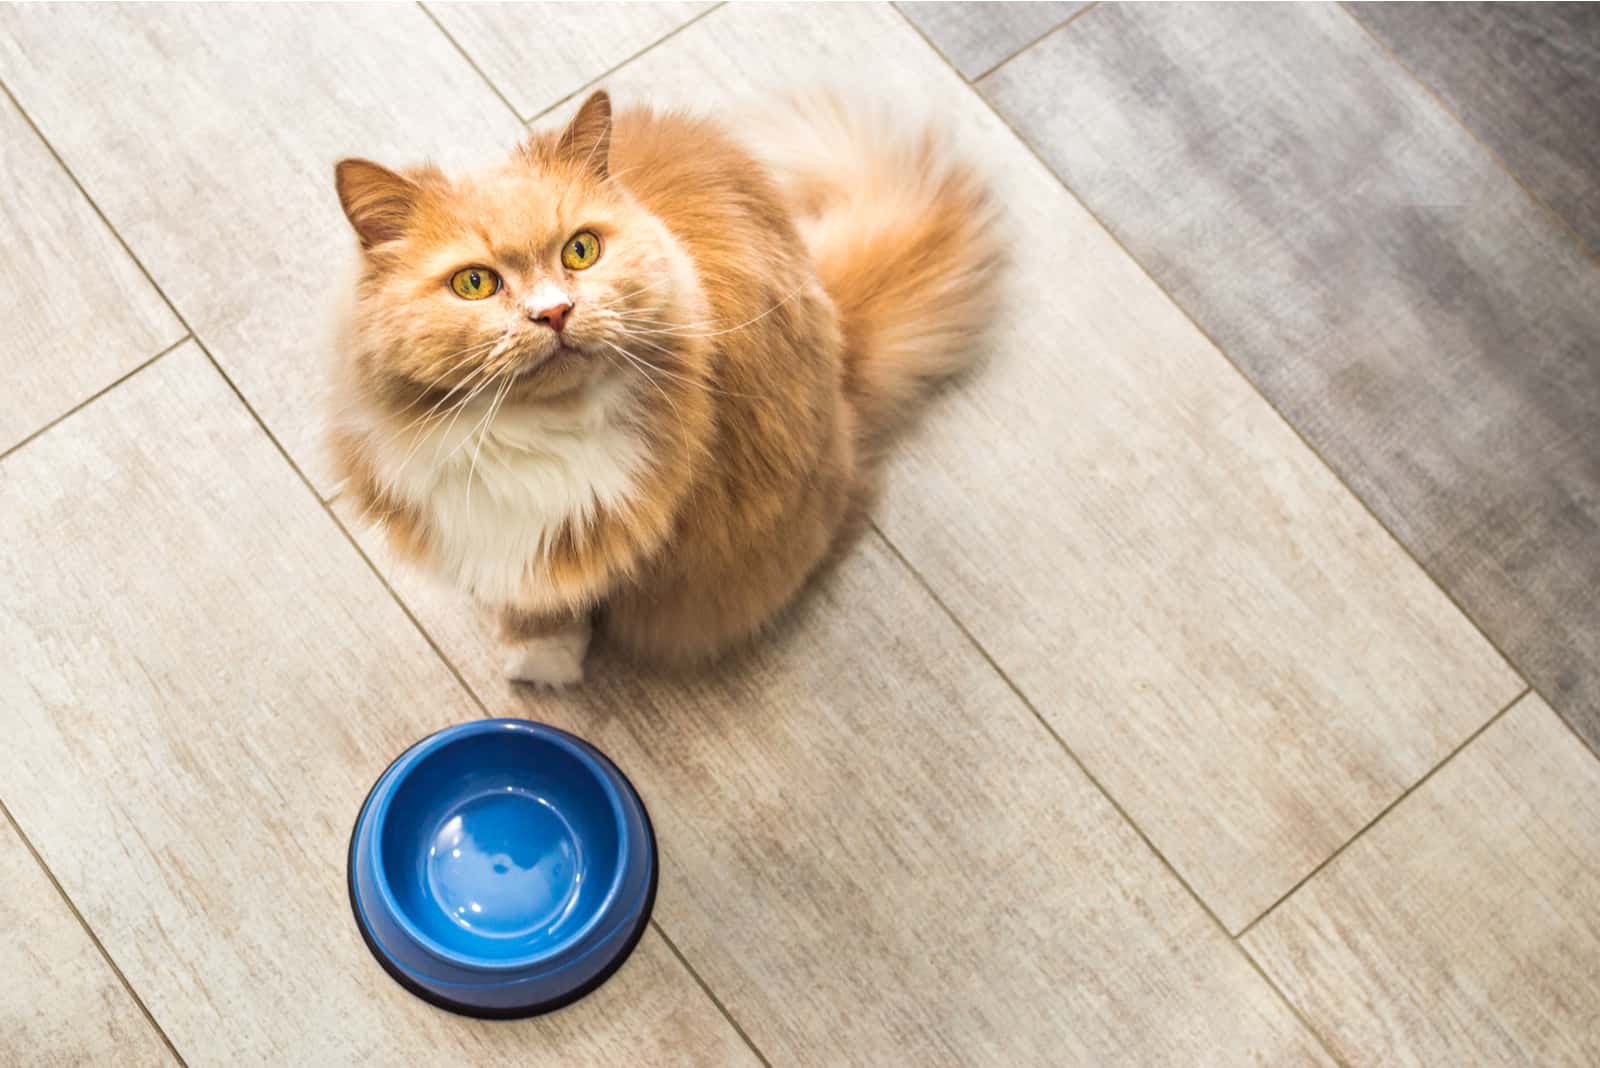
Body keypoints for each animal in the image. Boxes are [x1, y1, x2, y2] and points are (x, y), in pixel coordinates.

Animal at [326, 91, 998, 684]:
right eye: (474, 284)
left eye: (581, 250)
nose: (554, 312)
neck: (538, 432)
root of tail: (841, 354)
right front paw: (531, 651)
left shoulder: (594, 541)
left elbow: (560, 599)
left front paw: (543, 665)